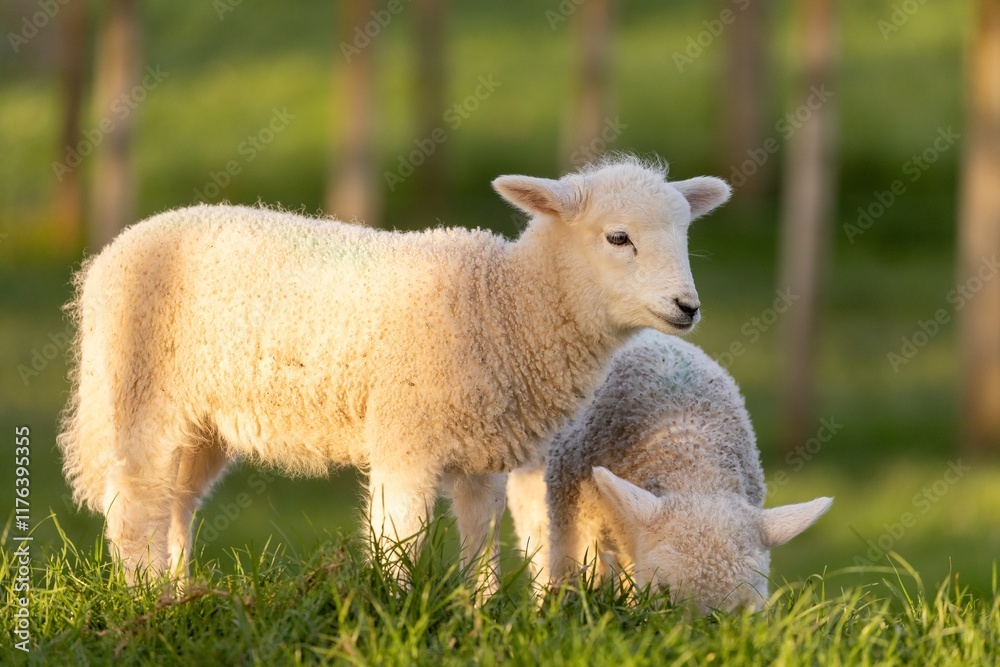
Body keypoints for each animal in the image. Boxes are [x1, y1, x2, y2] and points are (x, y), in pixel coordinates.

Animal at [57, 155, 732, 591]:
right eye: (618, 238)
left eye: (684, 234)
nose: (688, 307)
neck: (504, 302)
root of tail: (108, 256)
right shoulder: (406, 439)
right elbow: (399, 541)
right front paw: (395, 614)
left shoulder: (483, 453)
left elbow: (478, 545)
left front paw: (477, 619)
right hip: (142, 392)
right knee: (135, 508)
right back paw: (146, 600)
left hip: (202, 421)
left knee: (175, 503)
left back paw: (180, 596)